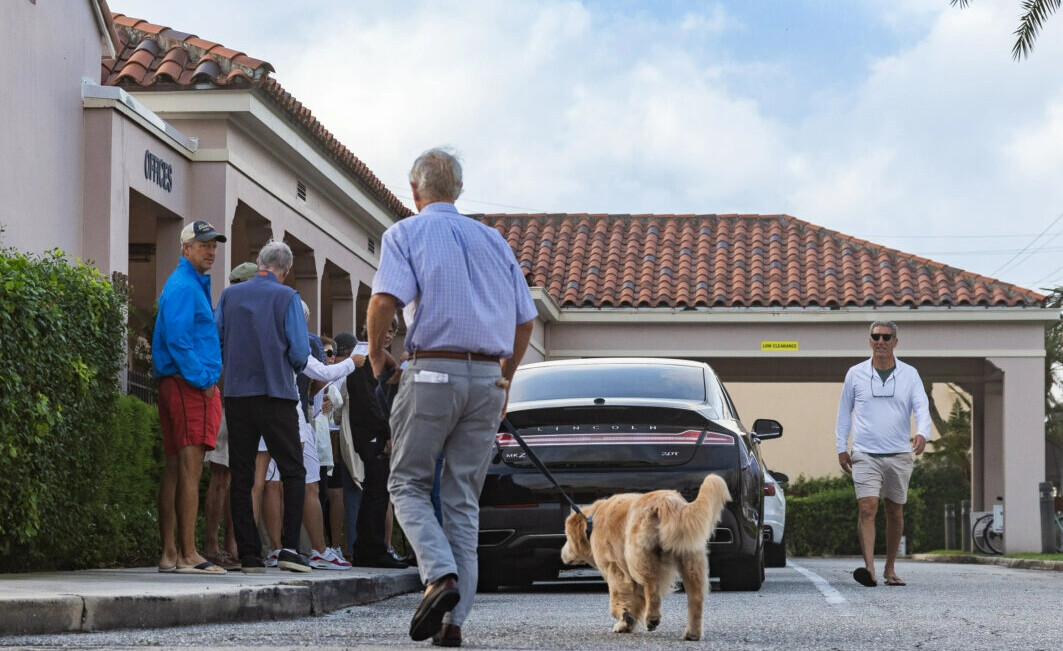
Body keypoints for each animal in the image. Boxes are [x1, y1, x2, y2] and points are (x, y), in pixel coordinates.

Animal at [557, 472, 731, 642]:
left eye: (567, 537)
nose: (561, 553)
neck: (591, 522)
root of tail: (668, 502)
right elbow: (634, 601)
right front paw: (625, 624)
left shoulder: (614, 569)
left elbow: (617, 598)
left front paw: (625, 617)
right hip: (689, 558)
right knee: (696, 596)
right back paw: (692, 633)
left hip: (638, 556)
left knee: (651, 585)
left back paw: (652, 618)